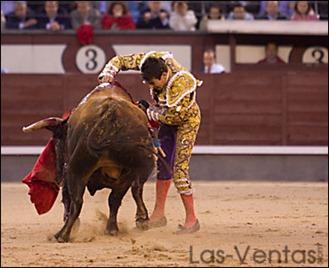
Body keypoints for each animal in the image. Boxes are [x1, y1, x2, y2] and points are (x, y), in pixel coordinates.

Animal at [23, 81, 156, 243]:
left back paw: (62, 235)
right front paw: (112, 230)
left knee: (77, 201)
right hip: (138, 166)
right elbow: (115, 199)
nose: (57, 174)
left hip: (76, 169)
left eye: (57, 140)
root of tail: (111, 112)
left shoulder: (67, 173)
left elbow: (68, 198)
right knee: (129, 190)